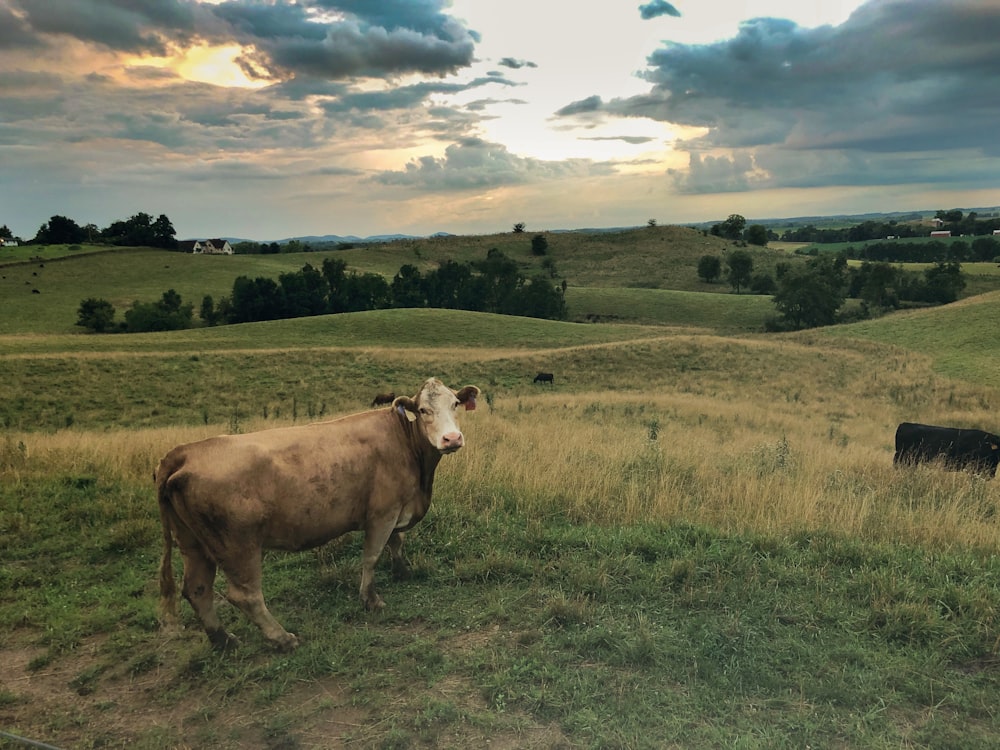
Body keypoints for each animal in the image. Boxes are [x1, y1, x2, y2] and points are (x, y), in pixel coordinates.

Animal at [155, 378, 480, 648]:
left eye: (455, 403)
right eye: (423, 410)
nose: (452, 438)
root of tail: (184, 452)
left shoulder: (398, 508)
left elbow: (396, 543)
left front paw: (403, 571)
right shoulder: (382, 513)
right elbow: (372, 556)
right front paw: (370, 600)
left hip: (193, 542)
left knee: (197, 589)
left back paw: (223, 640)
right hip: (237, 546)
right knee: (244, 595)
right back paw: (282, 638)